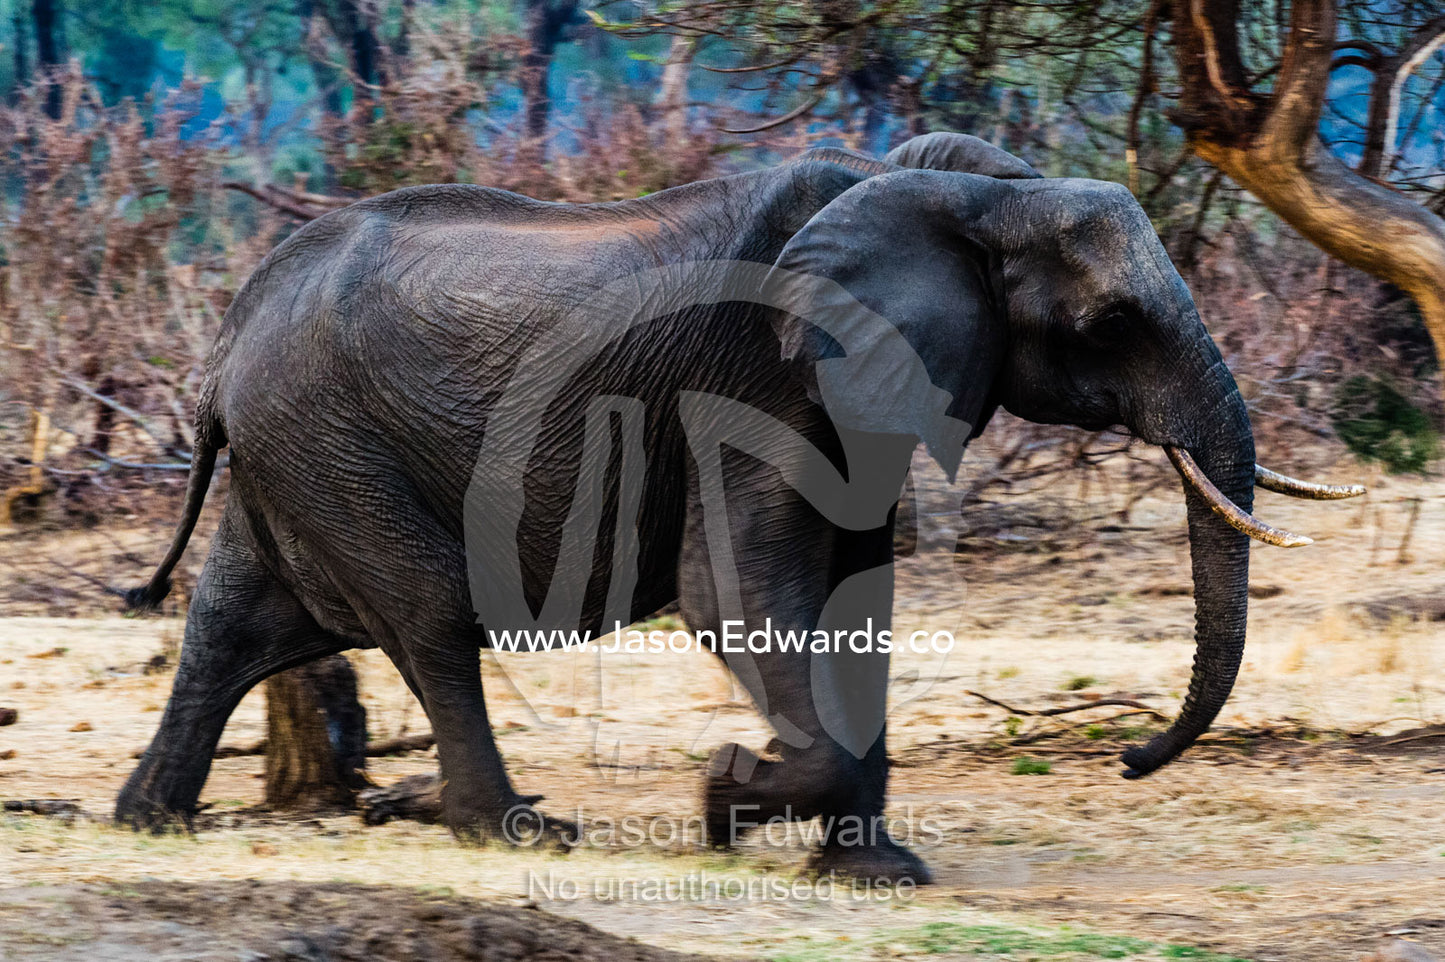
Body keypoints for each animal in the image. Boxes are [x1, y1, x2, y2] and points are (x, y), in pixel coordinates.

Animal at [118, 134, 1362, 883]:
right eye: (1109, 325)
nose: (1130, 761)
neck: (964, 191)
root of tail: (227, 337)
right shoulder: (757, 377)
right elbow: (736, 592)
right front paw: (727, 795)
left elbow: (854, 604)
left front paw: (870, 871)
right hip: (331, 440)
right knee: (428, 616)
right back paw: (508, 827)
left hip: (300, 449)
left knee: (236, 620)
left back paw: (158, 816)